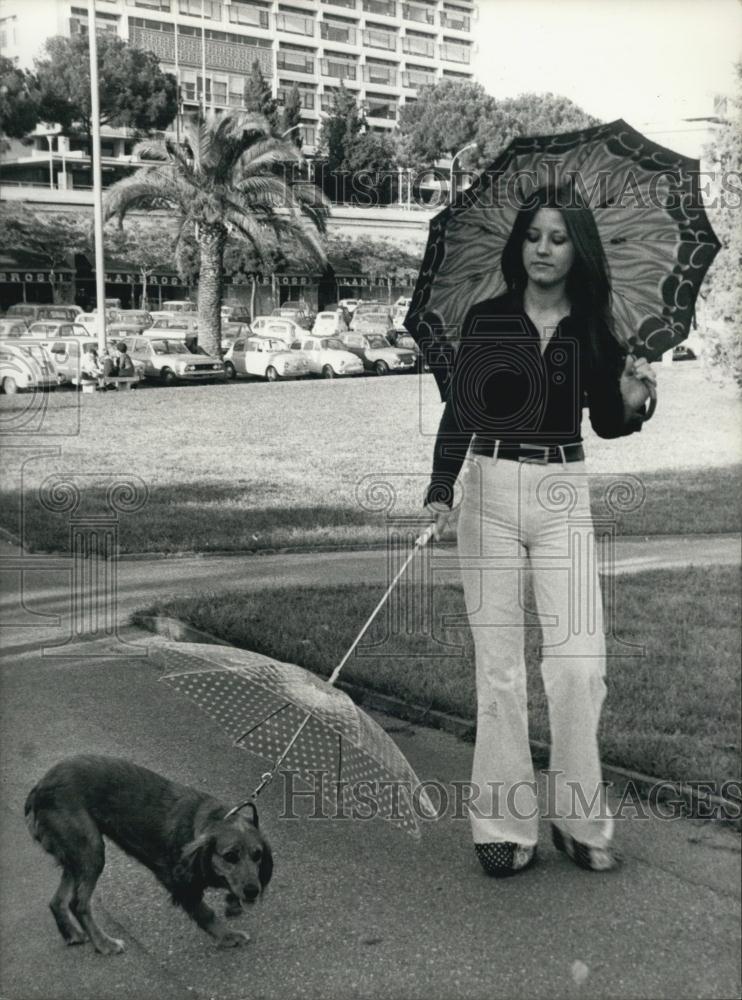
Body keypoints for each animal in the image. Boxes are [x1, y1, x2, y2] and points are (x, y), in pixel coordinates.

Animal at [26, 752, 276, 956]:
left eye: (257, 855)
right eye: (230, 856)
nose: (253, 891)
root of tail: (40, 786)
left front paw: (234, 904)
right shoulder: (180, 884)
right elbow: (206, 914)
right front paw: (228, 936)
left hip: (77, 855)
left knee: (58, 901)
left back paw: (72, 934)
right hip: (91, 851)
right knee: (78, 904)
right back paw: (104, 944)